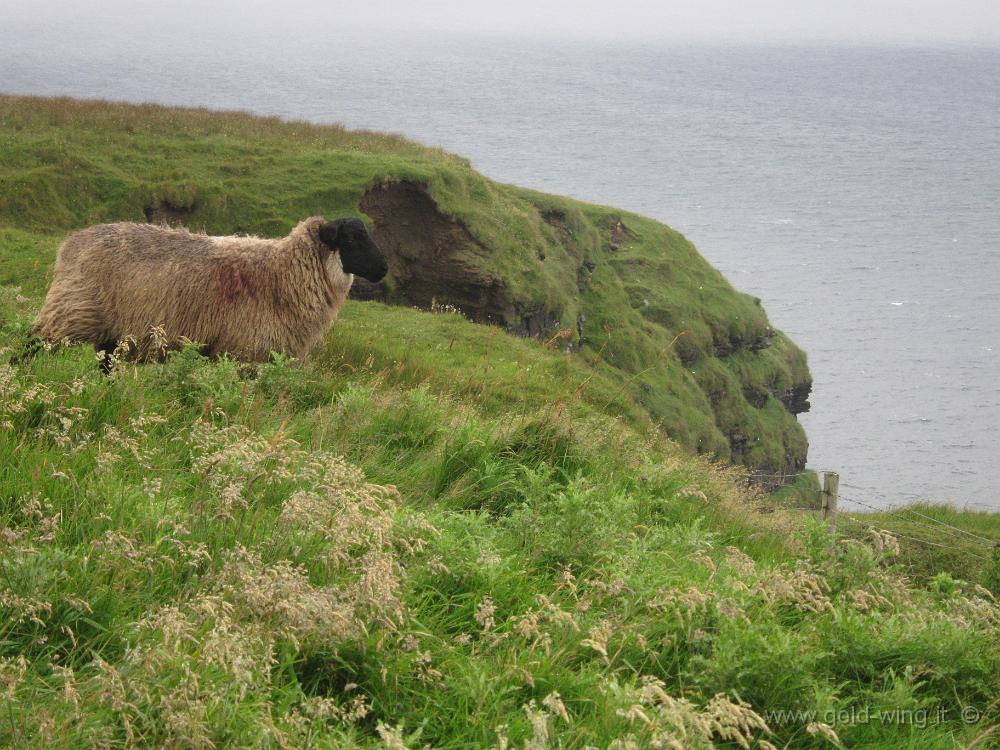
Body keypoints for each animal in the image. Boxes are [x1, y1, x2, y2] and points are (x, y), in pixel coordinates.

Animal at [24, 216, 386, 368]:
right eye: (352, 238)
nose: (383, 269)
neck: (282, 272)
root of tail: (72, 243)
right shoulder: (240, 351)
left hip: (110, 332)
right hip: (73, 309)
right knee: (32, 343)